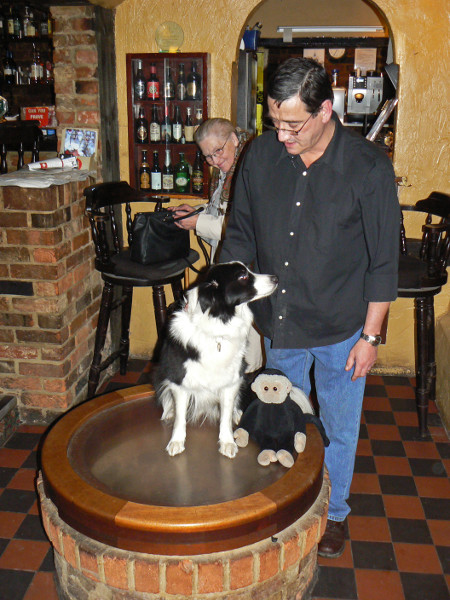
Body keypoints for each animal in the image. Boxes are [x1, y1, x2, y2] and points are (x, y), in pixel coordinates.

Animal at [155, 262, 278, 460]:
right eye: (242, 276)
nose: (275, 278)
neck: (218, 326)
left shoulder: (232, 380)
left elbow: (225, 415)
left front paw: (227, 442)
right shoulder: (180, 380)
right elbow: (181, 416)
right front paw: (176, 441)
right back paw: (169, 411)